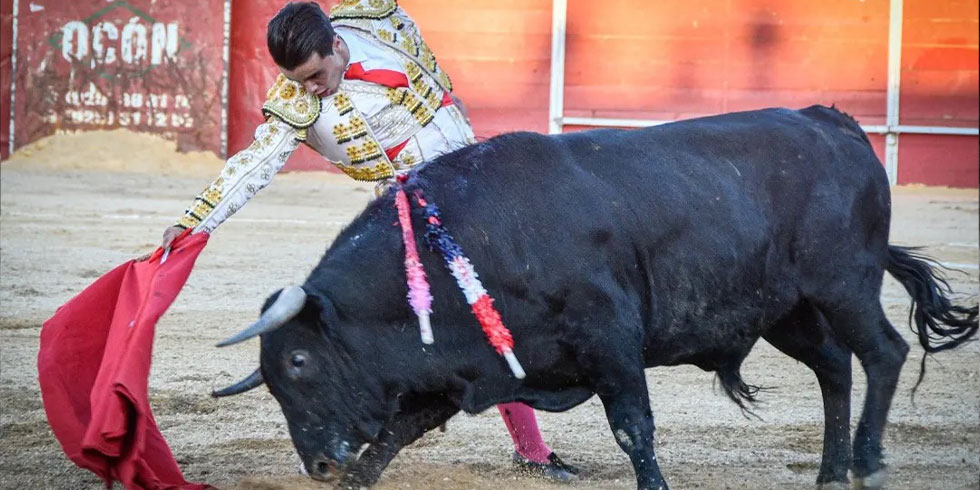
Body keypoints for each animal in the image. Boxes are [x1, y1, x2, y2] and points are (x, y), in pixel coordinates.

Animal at [212, 107, 972, 490]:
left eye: (300, 364)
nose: (316, 464)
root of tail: (835, 123)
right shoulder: (462, 372)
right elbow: (391, 439)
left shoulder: (612, 347)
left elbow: (634, 431)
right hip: (787, 310)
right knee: (835, 367)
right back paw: (829, 473)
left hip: (843, 283)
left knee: (883, 353)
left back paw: (867, 463)